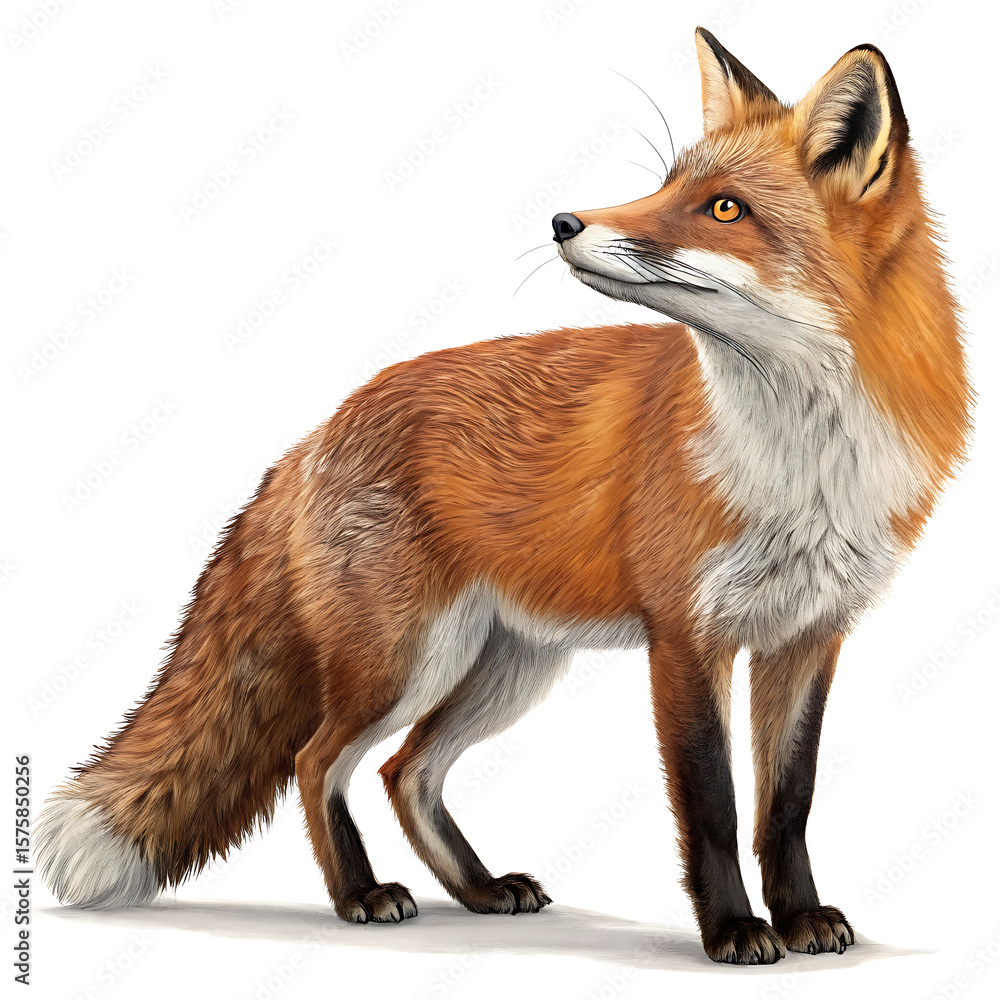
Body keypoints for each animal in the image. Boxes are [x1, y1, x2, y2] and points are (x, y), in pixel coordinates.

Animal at [37, 28, 970, 965]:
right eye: (666, 186)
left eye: (725, 209)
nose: (564, 223)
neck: (804, 464)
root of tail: (321, 429)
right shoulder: (684, 637)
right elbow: (711, 806)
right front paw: (735, 930)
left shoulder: (809, 636)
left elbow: (788, 803)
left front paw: (800, 916)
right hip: (404, 660)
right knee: (318, 760)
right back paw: (360, 894)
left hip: (505, 668)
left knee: (405, 770)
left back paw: (480, 890)